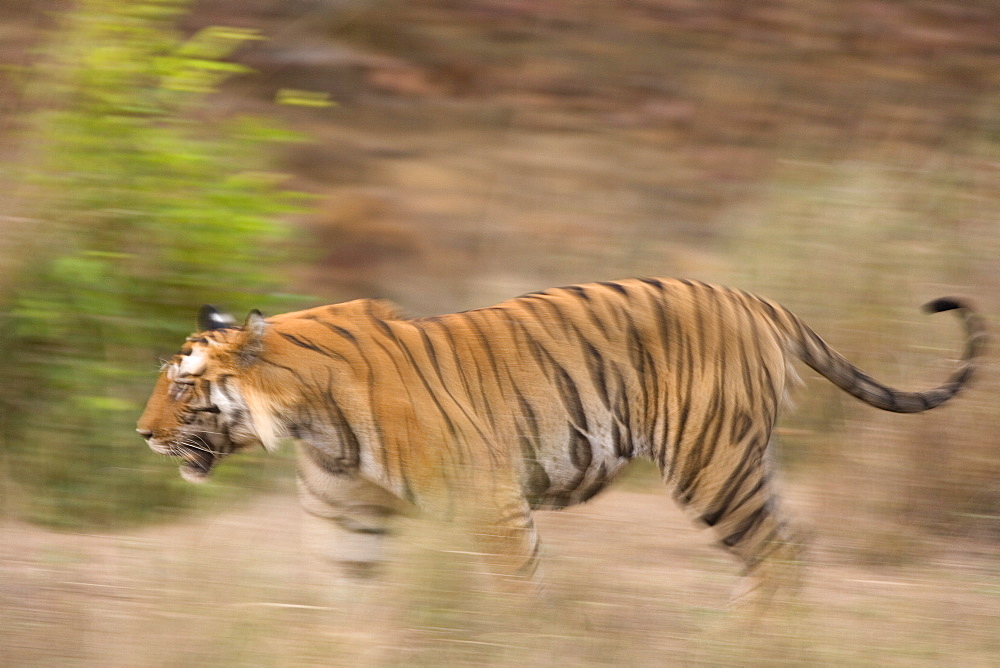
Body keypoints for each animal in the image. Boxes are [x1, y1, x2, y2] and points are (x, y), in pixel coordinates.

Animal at [139, 276, 984, 600]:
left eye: (183, 386)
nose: (143, 434)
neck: (311, 421)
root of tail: (756, 299)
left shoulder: (492, 507)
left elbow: (519, 598)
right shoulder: (347, 521)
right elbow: (349, 613)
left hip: (710, 467)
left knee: (776, 557)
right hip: (744, 463)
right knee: (792, 551)